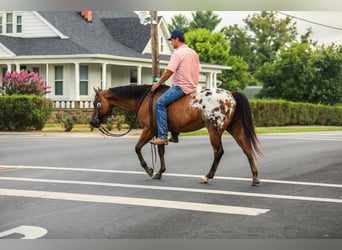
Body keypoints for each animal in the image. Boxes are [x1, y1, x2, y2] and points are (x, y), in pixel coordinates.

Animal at [89, 84, 264, 186]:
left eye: (96, 104)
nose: (92, 122)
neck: (144, 99)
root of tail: (231, 95)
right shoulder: (159, 132)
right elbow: (160, 151)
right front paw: (160, 172)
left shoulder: (149, 130)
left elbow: (137, 148)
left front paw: (149, 170)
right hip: (235, 129)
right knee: (247, 149)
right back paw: (255, 177)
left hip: (214, 130)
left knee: (218, 152)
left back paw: (207, 176)